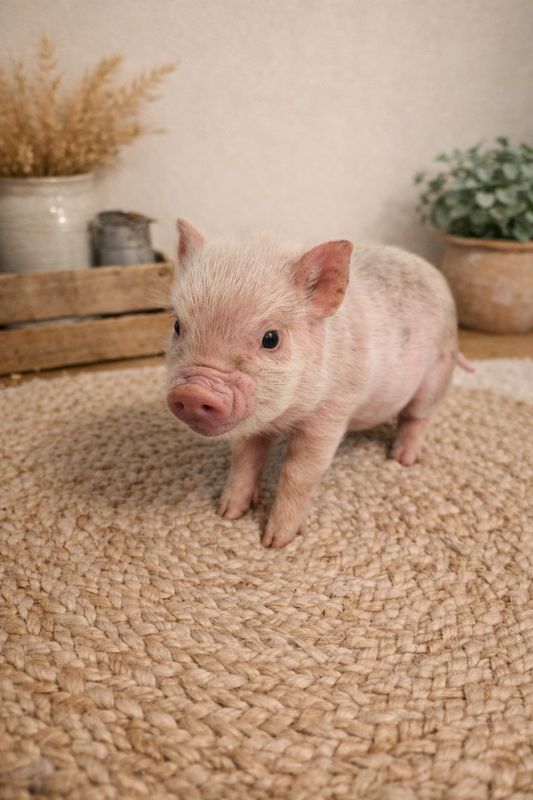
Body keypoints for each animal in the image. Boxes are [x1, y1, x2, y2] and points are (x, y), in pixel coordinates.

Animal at [166, 219, 472, 549]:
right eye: (177, 326)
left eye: (271, 338)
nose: (193, 392)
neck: (285, 416)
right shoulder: (252, 426)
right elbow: (245, 459)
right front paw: (228, 514)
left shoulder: (332, 410)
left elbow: (300, 471)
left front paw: (275, 542)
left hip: (438, 369)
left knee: (417, 417)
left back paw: (401, 459)